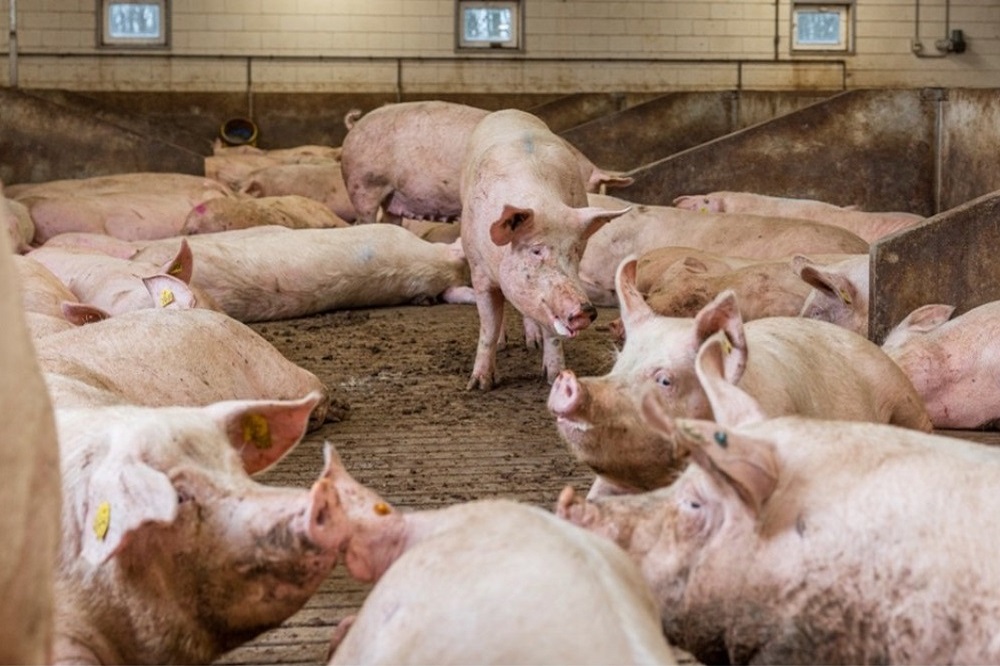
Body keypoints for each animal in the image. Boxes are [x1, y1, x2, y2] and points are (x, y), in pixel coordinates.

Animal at [460, 108, 631, 390]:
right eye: (536, 251)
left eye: (575, 251)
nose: (586, 310)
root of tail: (508, 111)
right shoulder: (479, 272)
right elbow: (489, 326)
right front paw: (479, 385)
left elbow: (552, 331)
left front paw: (554, 377)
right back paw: (505, 345)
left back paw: (533, 343)